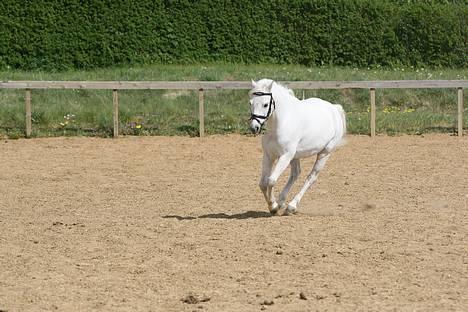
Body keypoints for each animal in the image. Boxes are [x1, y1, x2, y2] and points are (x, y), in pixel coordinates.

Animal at [250, 78, 346, 214]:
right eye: (251, 103)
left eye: (265, 104)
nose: (254, 127)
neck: (281, 123)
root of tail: (334, 108)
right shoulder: (269, 156)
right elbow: (263, 183)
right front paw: (274, 205)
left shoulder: (285, 156)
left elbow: (271, 181)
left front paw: (273, 206)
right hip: (295, 156)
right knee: (295, 174)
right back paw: (282, 202)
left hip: (324, 153)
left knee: (311, 177)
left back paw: (291, 206)